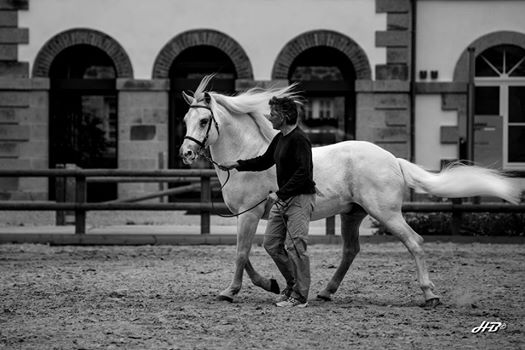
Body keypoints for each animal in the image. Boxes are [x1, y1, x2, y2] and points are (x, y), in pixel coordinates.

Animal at [178, 74, 516, 306]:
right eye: (186, 119)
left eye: (204, 120)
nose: (186, 154)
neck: (249, 154)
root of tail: (392, 159)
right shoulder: (242, 216)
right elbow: (246, 255)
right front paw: (275, 284)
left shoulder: (248, 216)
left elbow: (241, 254)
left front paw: (230, 292)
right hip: (353, 215)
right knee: (351, 251)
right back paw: (326, 291)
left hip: (386, 214)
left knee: (415, 243)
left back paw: (430, 295)